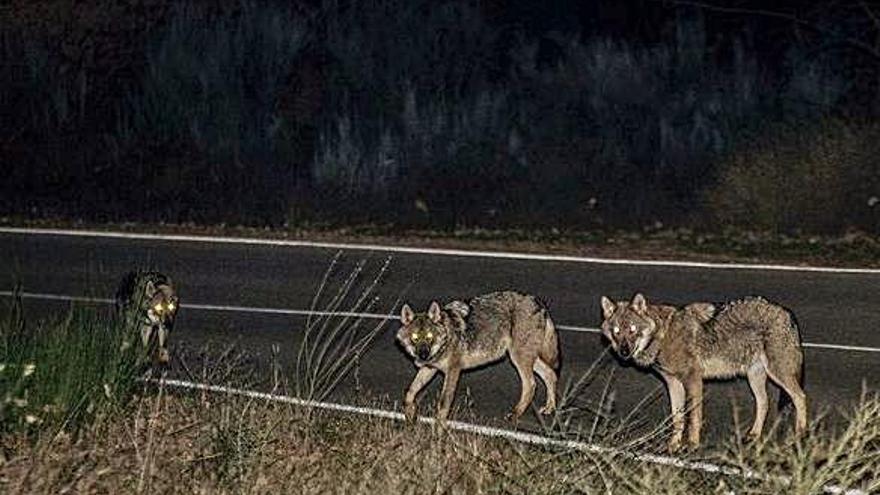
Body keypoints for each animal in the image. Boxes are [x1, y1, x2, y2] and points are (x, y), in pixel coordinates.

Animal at [398, 292, 560, 424]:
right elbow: (409, 393)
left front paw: (439, 431)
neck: (447, 335)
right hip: (526, 358)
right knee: (550, 374)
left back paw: (515, 414)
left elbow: (443, 403)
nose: (423, 355)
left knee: (531, 384)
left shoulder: (453, 371)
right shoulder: (429, 368)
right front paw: (410, 416)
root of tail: (538, 302)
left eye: (429, 337)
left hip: (518, 358)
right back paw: (549, 408)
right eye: (415, 338)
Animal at [600, 294, 808, 454]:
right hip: (755, 376)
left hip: (778, 374)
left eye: (632, 330)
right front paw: (673, 445)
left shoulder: (693, 380)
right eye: (616, 332)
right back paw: (753, 435)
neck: (662, 336)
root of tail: (788, 313)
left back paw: (799, 436)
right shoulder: (673, 384)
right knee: (764, 402)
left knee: (800, 397)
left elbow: (693, 417)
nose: (623, 352)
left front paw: (692, 445)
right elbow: (677, 418)